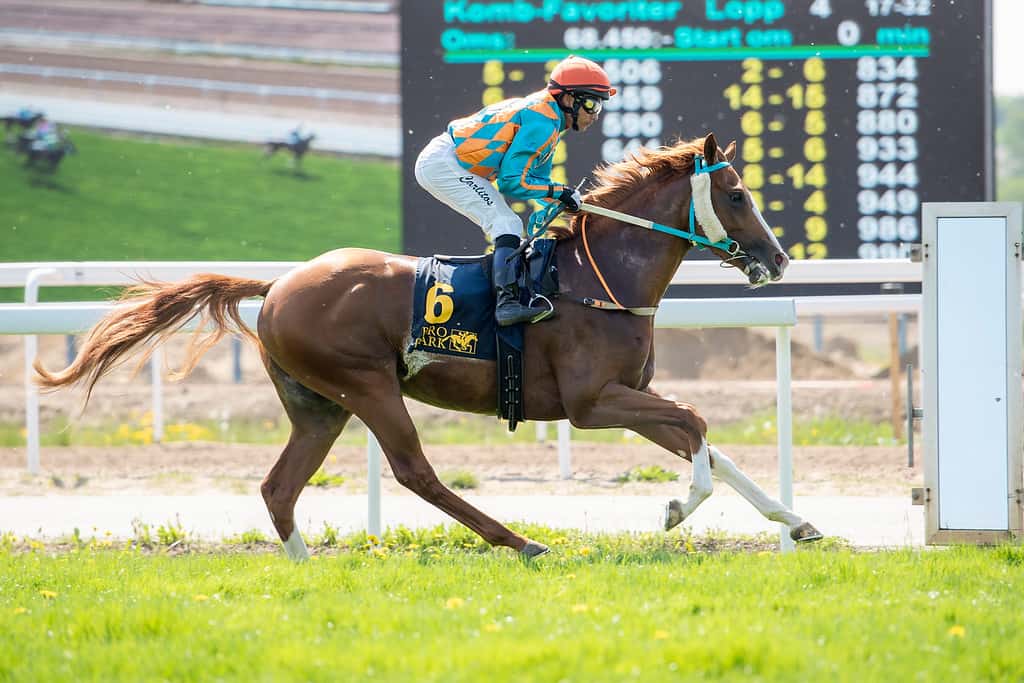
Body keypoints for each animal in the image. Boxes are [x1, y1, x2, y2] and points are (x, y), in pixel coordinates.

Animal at [34, 133, 823, 561]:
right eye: (738, 195)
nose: (779, 260)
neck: (598, 277)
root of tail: (281, 281)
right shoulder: (593, 402)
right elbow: (697, 423)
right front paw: (674, 510)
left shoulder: (628, 397)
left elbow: (707, 440)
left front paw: (799, 522)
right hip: (367, 386)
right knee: (415, 471)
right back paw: (522, 541)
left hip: (319, 405)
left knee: (280, 486)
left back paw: (305, 568)